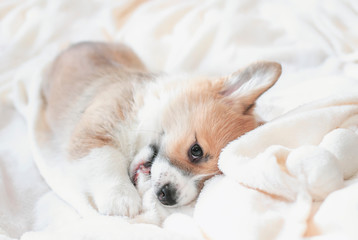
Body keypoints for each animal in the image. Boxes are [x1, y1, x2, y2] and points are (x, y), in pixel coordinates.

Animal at [38, 41, 280, 219]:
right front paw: (120, 197)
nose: (168, 197)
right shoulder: (95, 129)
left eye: (205, 183)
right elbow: (105, 160)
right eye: (196, 150)